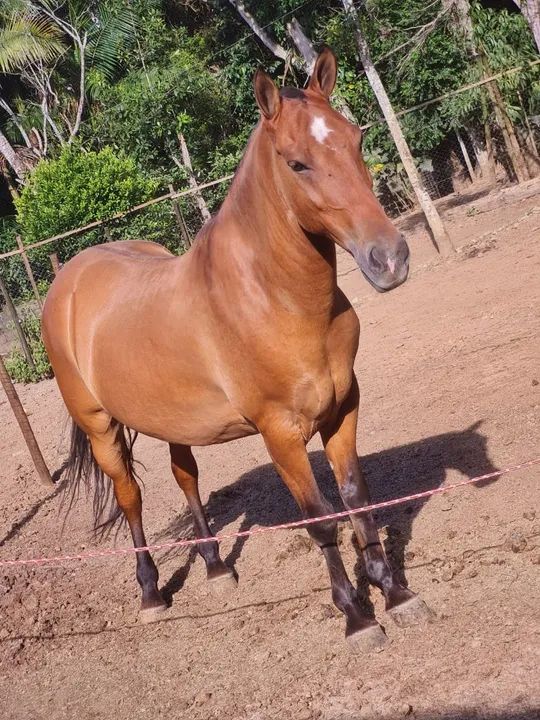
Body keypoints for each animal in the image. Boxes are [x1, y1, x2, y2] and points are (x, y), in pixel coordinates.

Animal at [42, 48, 431, 651]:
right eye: (297, 164)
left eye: (356, 139)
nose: (389, 258)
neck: (272, 299)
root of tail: (68, 281)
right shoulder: (281, 432)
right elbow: (321, 520)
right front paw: (357, 618)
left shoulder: (343, 409)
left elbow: (358, 500)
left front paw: (396, 594)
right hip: (100, 426)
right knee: (130, 497)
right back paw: (151, 594)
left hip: (173, 421)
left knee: (186, 478)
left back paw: (216, 565)